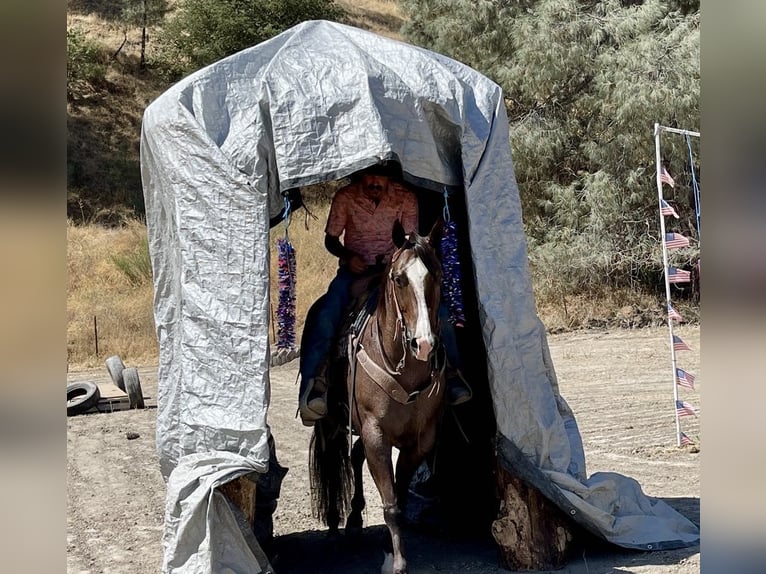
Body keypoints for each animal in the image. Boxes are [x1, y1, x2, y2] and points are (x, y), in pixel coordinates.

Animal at [308, 219, 448, 574]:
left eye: (439, 275)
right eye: (399, 279)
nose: (423, 344)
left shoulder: (420, 440)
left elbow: (399, 496)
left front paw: (389, 546)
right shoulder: (376, 433)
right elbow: (391, 503)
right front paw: (397, 562)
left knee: (355, 456)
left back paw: (355, 520)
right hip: (331, 424)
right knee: (335, 461)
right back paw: (335, 526)